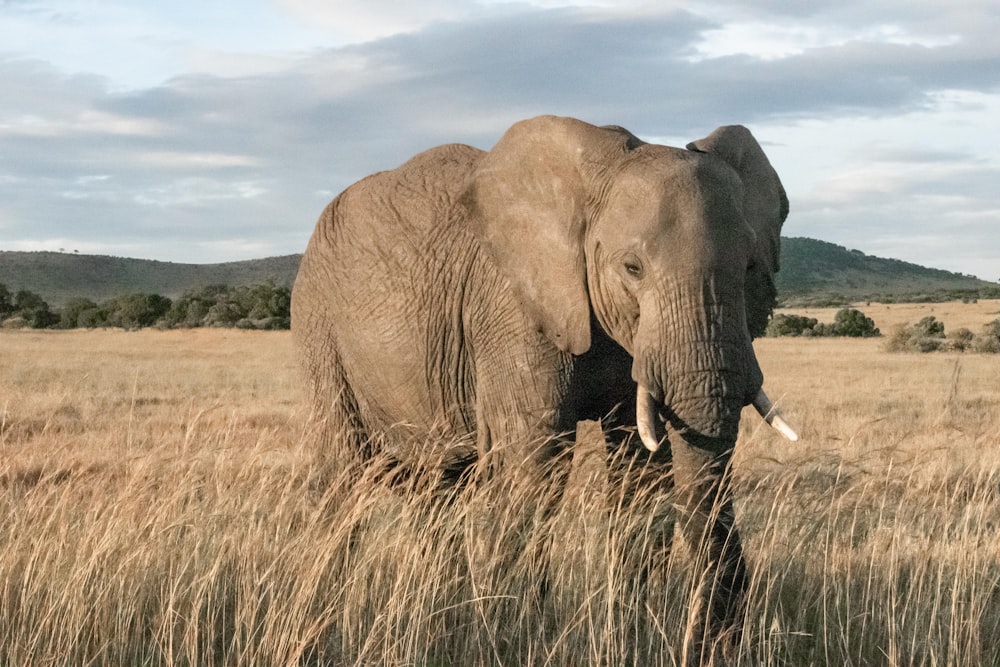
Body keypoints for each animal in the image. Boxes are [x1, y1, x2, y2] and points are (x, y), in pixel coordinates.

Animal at [290, 113, 796, 656]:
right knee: (342, 475)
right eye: (632, 267)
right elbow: (533, 465)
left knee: (441, 489)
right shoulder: (512, 309)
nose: (716, 643)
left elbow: (641, 472)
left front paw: (629, 636)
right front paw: (512, 640)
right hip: (318, 325)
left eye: (750, 268)